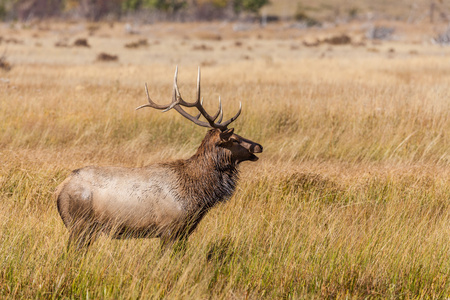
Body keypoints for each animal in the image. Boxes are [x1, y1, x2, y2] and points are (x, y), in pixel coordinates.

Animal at [55, 68, 264, 251]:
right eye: (234, 139)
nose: (259, 146)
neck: (198, 195)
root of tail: (59, 189)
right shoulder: (169, 229)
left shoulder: (183, 231)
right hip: (80, 225)